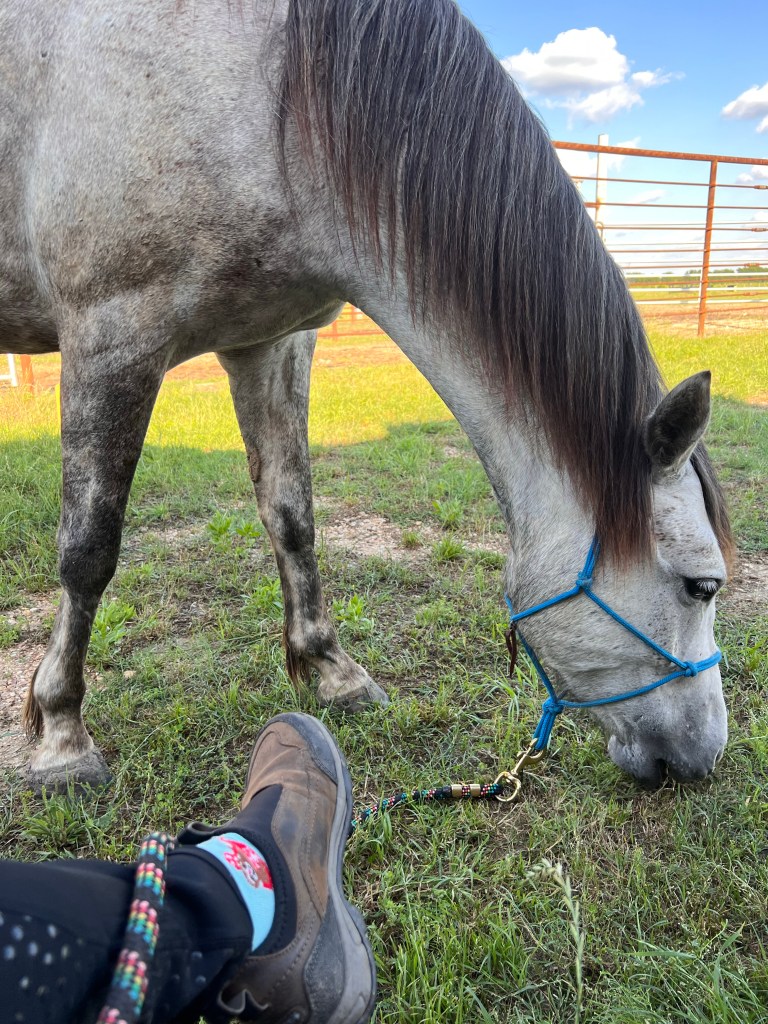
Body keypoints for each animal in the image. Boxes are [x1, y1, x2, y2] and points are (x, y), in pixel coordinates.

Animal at [1, 0, 733, 791]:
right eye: (703, 586)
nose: (704, 756)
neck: (276, 99)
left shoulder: (271, 342)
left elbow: (292, 517)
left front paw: (333, 672)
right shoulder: (112, 334)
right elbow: (88, 550)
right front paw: (61, 734)